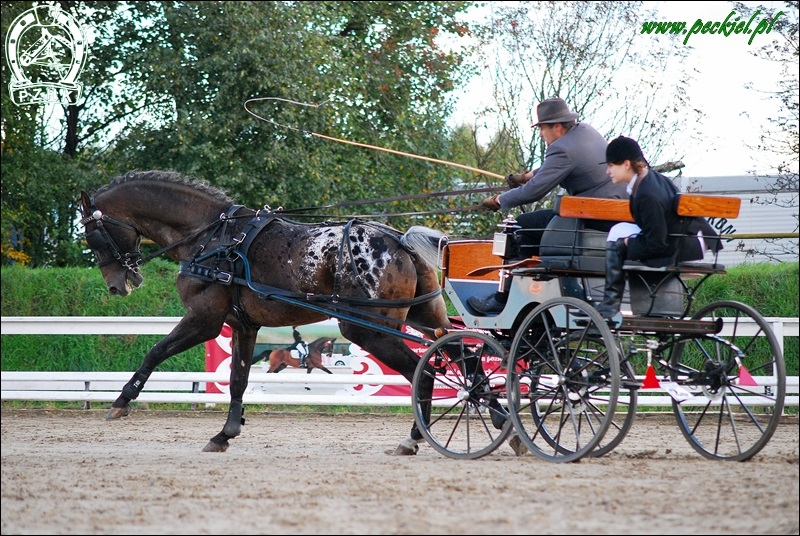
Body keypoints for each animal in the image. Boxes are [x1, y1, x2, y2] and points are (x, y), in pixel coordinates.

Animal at [83, 170, 454, 454]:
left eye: (92, 233)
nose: (117, 285)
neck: (212, 237)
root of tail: (400, 240)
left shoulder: (204, 320)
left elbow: (155, 351)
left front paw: (121, 401)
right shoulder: (243, 326)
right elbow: (238, 379)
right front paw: (226, 433)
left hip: (368, 329)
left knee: (423, 373)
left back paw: (414, 437)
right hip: (427, 319)